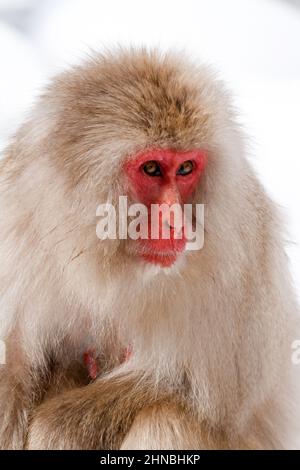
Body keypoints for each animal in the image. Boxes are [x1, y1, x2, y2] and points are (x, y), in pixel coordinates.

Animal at [0, 49, 300, 450]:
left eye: (186, 168)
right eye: (153, 168)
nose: (176, 223)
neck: (106, 262)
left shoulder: (243, 259)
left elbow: (201, 389)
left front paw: (57, 430)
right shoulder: (16, 234)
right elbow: (13, 375)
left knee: (164, 418)